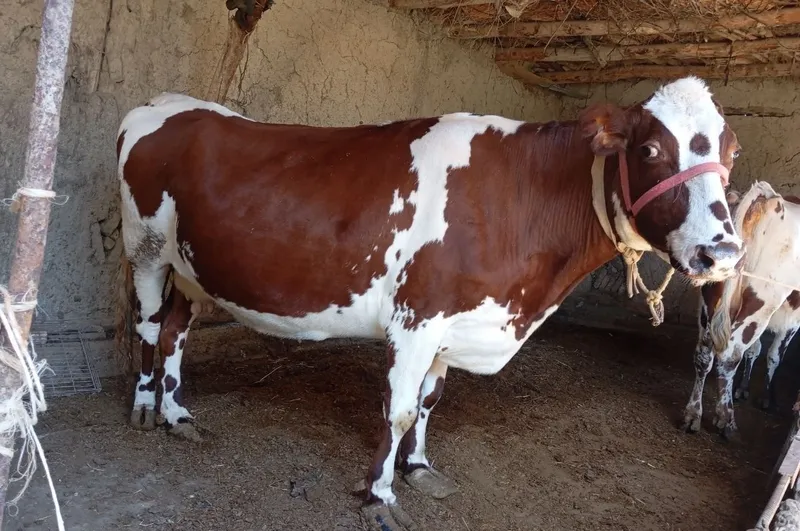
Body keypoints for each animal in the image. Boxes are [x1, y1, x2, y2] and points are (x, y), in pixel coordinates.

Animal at [116, 76, 743, 530]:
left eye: (731, 152)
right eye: (651, 148)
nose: (722, 251)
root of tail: (168, 102)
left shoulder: (455, 322)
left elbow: (429, 401)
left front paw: (418, 468)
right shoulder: (417, 318)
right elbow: (397, 410)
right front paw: (379, 495)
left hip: (194, 270)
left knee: (174, 331)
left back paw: (178, 415)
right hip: (145, 250)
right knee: (147, 327)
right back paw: (146, 409)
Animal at [683, 183, 800, 440]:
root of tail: (767, 198)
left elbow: (755, 351)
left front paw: (743, 388)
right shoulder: (792, 320)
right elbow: (774, 355)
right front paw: (766, 397)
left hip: (710, 299)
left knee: (704, 354)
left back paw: (694, 413)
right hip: (761, 303)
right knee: (729, 355)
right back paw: (725, 418)